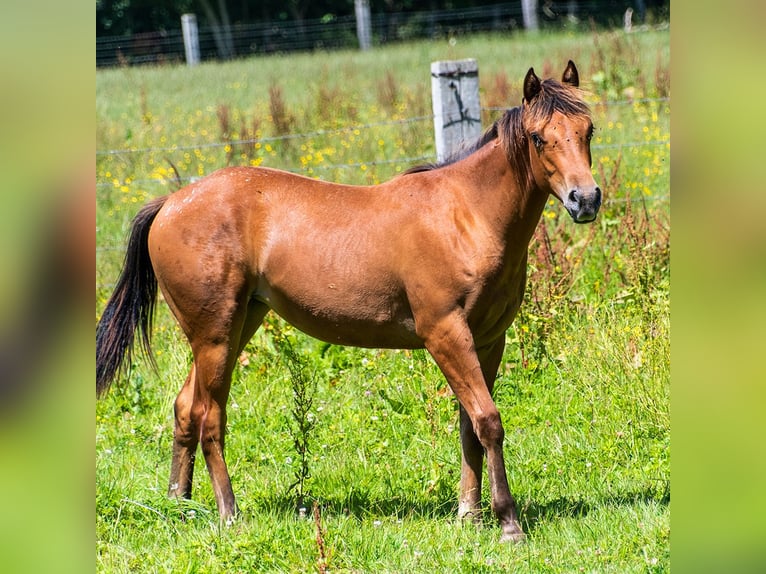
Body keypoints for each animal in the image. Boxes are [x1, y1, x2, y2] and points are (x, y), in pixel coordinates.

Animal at [94, 63, 600, 544]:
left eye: (588, 130)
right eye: (538, 137)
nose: (586, 199)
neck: (466, 216)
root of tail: (169, 203)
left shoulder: (489, 339)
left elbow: (469, 426)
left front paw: (469, 515)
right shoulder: (445, 334)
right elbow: (489, 421)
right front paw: (508, 522)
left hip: (236, 326)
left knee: (184, 408)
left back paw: (180, 505)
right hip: (216, 336)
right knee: (209, 417)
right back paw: (229, 513)